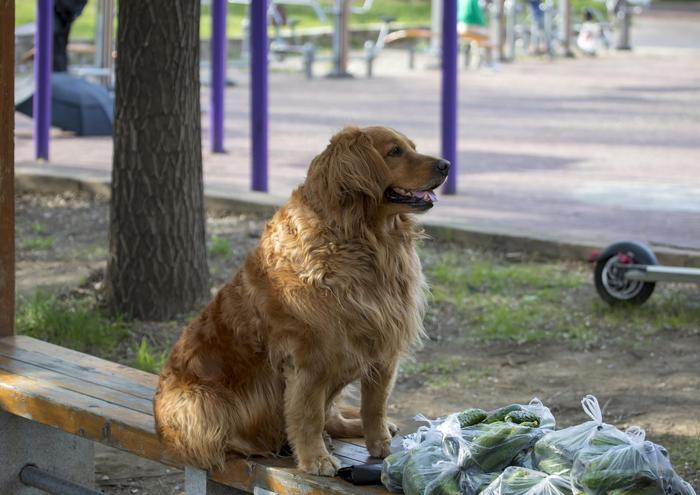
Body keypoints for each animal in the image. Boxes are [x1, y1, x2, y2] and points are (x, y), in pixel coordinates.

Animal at [152, 125, 448, 476]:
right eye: (394, 151)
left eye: (412, 147)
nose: (445, 165)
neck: (364, 241)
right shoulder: (308, 359)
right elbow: (308, 415)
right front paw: (315, 459)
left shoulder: (382, 346)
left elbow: (375, 404)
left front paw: (380, 443)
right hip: (201, 401)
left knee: (335, 417)